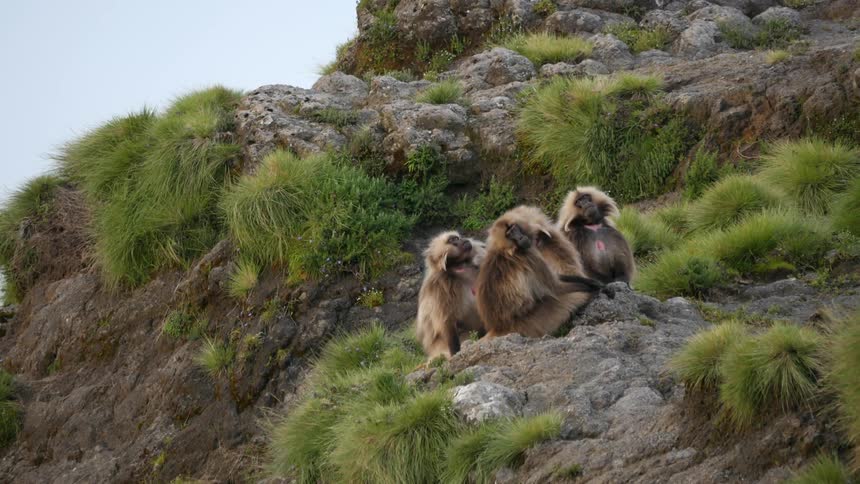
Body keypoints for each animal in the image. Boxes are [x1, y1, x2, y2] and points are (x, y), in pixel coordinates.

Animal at [415, 231, 487, 361]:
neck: (460, 267)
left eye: (457, 237)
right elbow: (447, 322)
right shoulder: (440, 289)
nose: (465, 240)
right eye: (453, 240)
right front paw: (456, 354)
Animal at [475, 209, 602, 339]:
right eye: (509, 234)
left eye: (513, 229)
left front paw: (592, 281)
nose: (520, 238)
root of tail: (498, 327)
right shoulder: (530, 255)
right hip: (530, 323)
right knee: (571, 297)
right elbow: (556, 287)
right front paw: (594, 286)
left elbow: (556, 279)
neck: (509, 250)